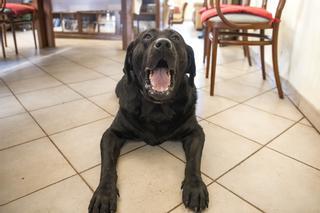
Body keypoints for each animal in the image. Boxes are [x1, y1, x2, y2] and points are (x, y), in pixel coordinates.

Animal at [89, 28, 209, 213]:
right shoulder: (111, 134)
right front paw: (104, 194)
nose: (163, 44)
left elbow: (194, 161)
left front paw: (195, 186)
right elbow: (107, 166)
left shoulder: (196, 132)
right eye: (147, 36)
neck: (157, 108)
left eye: (176, 37)